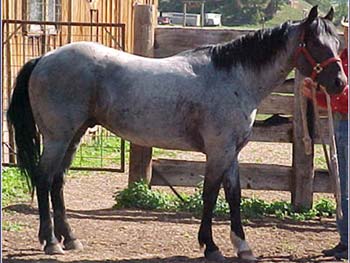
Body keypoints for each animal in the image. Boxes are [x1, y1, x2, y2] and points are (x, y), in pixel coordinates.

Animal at [6, 5, 346, 262]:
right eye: (316, 44)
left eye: (337, 44)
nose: (339, 84)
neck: (233, 77)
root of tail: (44, 59)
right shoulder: (218, 150)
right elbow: (210, 194)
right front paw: (210, 246)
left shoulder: (231, 152)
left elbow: (233, 196)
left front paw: (242, 246)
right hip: (57, 137)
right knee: (44, 178)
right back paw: (51, 241)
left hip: (73, 136)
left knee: (57, 181)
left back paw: (70, 238)